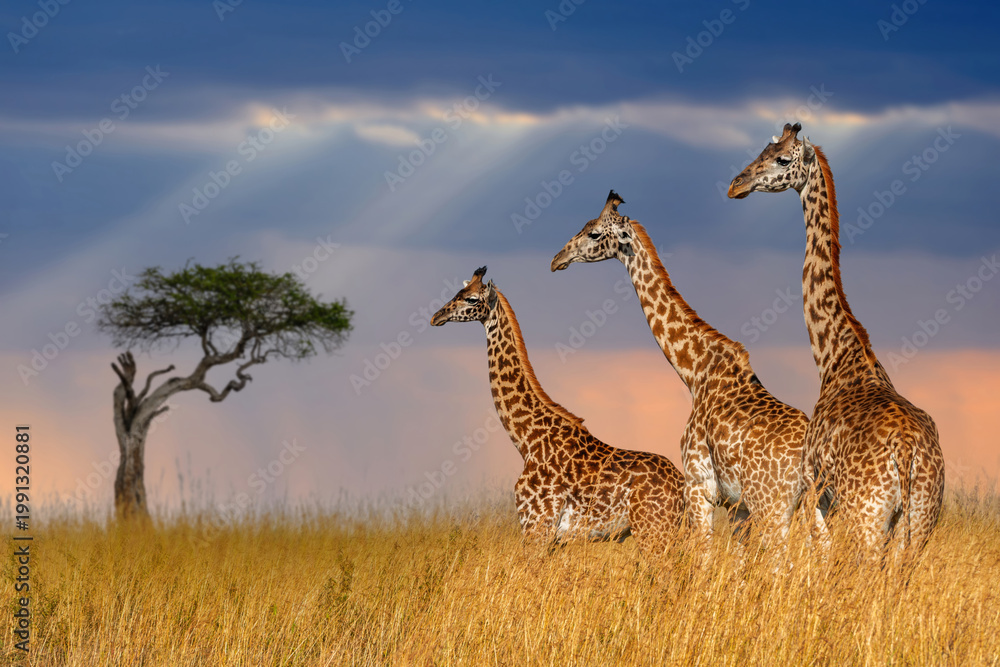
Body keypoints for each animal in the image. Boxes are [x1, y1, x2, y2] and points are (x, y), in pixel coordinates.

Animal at [431, 266, 685, 559]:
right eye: (457, 292)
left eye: (471, 299)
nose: (437, 316)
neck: (526, 440)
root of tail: (682, 485)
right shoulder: (550, 538)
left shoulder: (536, 525)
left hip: (652, 530)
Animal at [551, 191, 811, 549]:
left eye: (593, 233)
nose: (557, 259)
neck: (695, 371)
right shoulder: (736, 505)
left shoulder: (700, 488)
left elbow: (703, 554)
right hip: (814, 505)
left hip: (772, 504)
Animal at [728, 122, 945, 556]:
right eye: (763, 150)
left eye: (782, 159)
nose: (735, 185)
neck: (835, 356)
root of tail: (907, 451)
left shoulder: (816, 488)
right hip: (919, 520)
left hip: (868, 516)